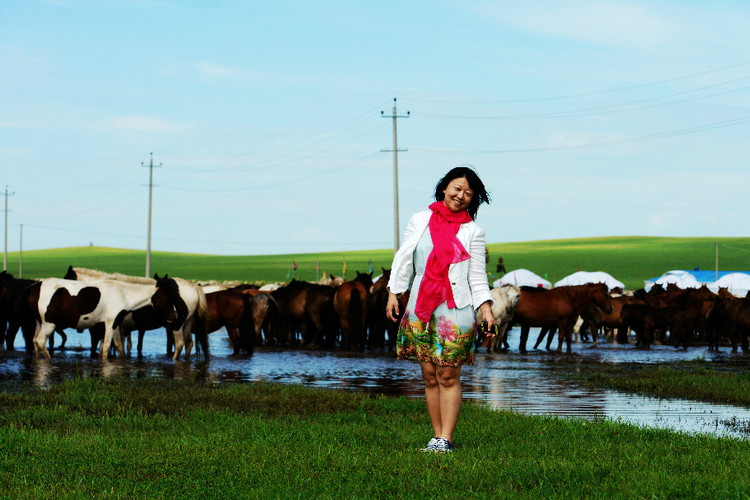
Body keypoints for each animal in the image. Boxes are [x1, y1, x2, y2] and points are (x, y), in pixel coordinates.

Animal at [31, 274, 181, 360]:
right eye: (168, 298)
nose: (175, 316)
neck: (123, 294)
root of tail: (37, 286)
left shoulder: (104, 325)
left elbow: (107, 347)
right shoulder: (111, 322)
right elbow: (108, 347)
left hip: (39, 323)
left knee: (34, 342)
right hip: (49, 324)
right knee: (40, 341)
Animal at [66, 266, 209, 360]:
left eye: (67, 278)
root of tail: (194, 287)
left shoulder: (114, 325)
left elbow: (115, 345)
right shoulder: (120, 326)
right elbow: (119, 346)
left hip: (176, 325)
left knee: (179, 344)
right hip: (187, 324)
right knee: (189, 344)